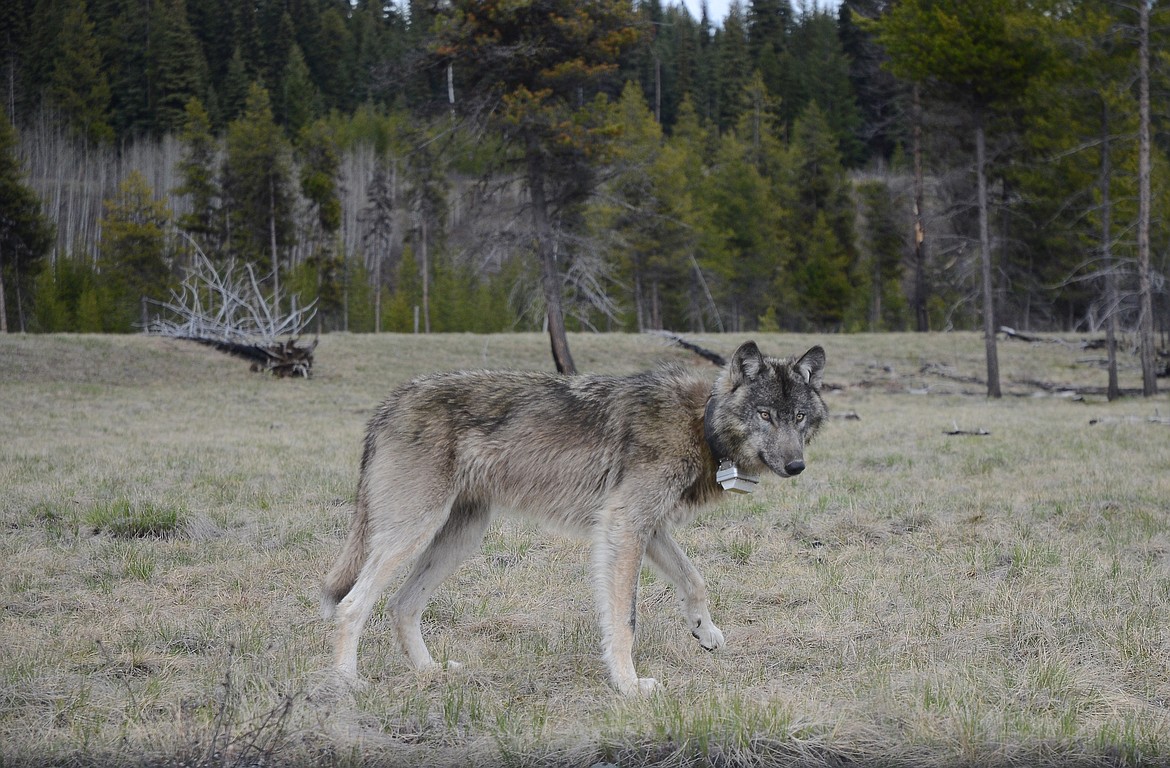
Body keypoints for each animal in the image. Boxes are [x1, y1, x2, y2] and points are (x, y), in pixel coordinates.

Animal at [320, 341, 828, 697]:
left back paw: (431, 673)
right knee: (352, 605)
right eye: (765, 414)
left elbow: (695, 580)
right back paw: (347, 683)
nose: (797, 466)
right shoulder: (624, 528)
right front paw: (628, 686)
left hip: (459, 540)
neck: (699, 424)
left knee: (401, 606)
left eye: (799, 417)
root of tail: (388, 403)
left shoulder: (649, 528)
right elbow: (625, 621)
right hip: (412, 534)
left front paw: (705, 632)